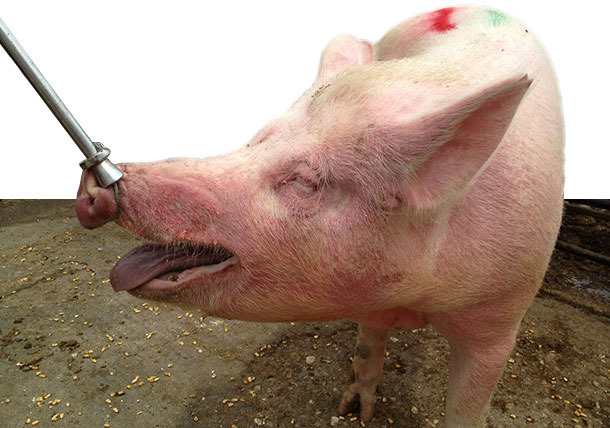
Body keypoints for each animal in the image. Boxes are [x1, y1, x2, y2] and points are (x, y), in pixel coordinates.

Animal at [75, 6, 560, 428]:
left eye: (305, 180)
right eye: (256, 141)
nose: (97, 187)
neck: (414, 295)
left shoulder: (501, 317)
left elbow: (469, 407)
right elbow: (367, 345)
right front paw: (354, 412)